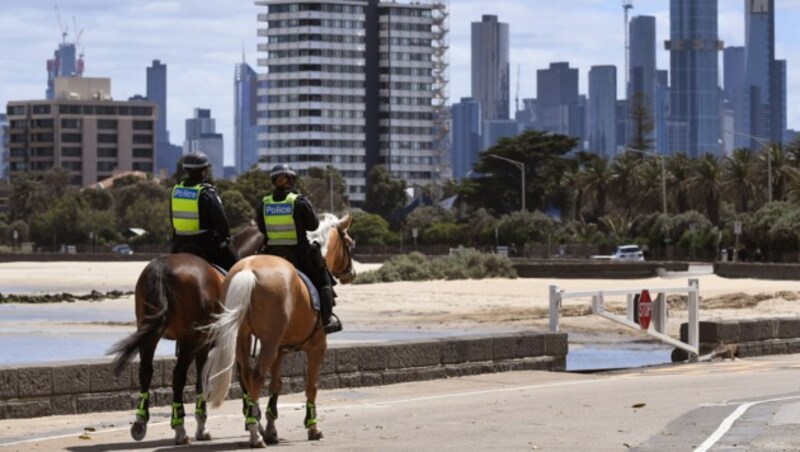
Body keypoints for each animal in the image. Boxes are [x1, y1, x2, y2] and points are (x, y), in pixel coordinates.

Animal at [108, 228, 256, 444]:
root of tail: (162, 265)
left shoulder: (203, 346)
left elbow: (201, 379)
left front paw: (202, 425)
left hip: (152, 335)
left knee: (145, 372)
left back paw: (140, 422)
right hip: (188, 339)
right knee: (178, 376)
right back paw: (179, 429)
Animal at [205, 215, 354, 448]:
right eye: (349, 244)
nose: (352, 273)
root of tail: (248, 270)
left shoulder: (280, 350)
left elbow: (276, 385)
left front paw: (271, 429)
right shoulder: (317, 346)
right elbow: (311, 385)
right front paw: (313, 427)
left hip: (244, 338)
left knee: (246, 375)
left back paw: (254, 424)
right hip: (268, 342)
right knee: (256, 375)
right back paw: (255, 434)